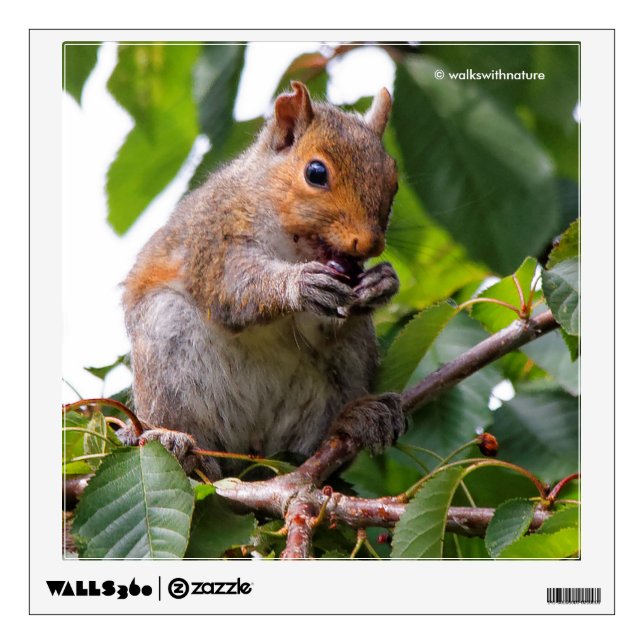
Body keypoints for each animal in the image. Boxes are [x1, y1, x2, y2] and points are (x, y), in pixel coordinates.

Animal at [119, 81, 406, 479]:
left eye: (393, 182)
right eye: (316, 173)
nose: (370, 244)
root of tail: (252, 454)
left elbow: (323, 325)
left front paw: (383, 283)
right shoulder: (215, 237)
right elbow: (232, 288)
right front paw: (297, 285)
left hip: (350, 359)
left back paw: (356, 419)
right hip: (167, 346)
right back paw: (179, 446)